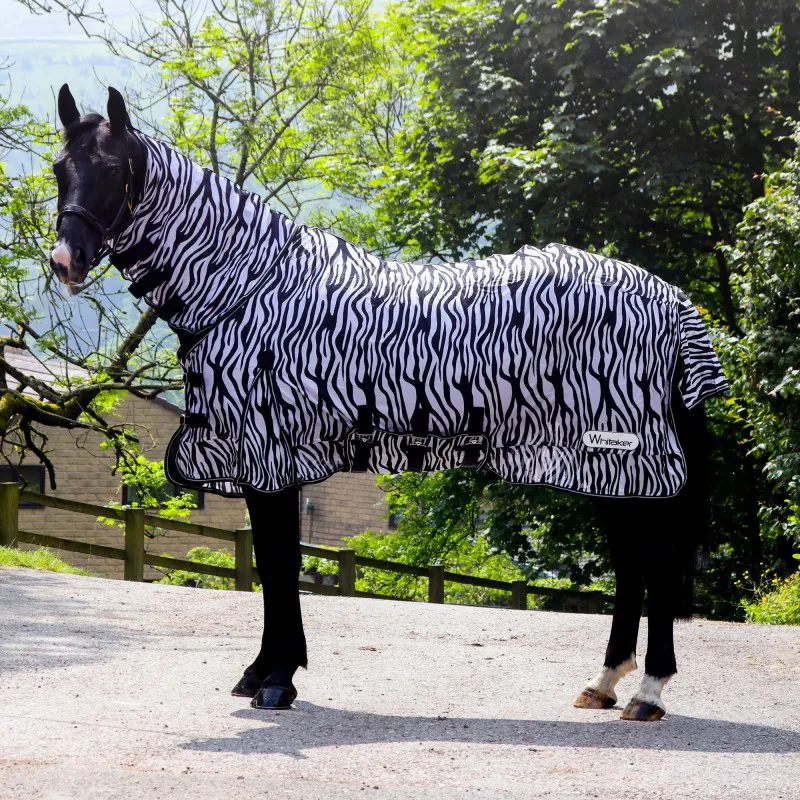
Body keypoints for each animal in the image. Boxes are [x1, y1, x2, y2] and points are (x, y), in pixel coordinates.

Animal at [50, 85, 727, 721]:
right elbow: (272, 564)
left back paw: (649, 691)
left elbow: (279, 564)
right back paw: (605, 683)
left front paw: (277, 679)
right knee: (632, 568)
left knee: (656, 566)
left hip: (631, 459)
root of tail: (673, 303)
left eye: (112, 169)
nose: (65, 260)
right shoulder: (263, 462)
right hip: (610, 469)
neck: (250, 287)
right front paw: (263, 671)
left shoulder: (271, 457)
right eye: (60, 168)